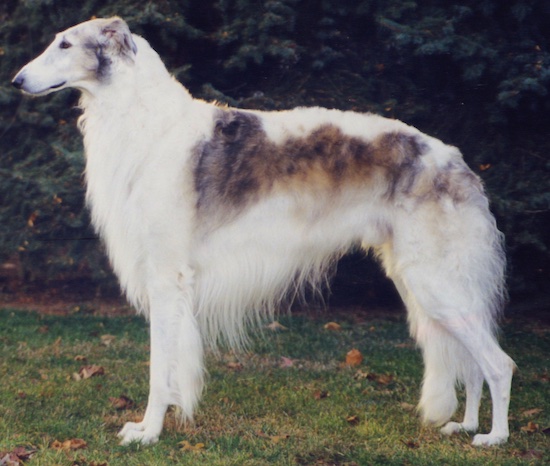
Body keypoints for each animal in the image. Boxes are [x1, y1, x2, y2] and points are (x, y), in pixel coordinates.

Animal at [12, 17, 516, 448]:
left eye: (65, 44)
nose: (16, 81)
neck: (146, 122)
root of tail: (457, 163)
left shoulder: (166, 277)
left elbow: (160, 370)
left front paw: (148, 431)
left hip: (435, 283)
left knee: (499, 364)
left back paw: (495, 436)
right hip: (425, 283)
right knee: (473, 366)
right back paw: (466, 425)